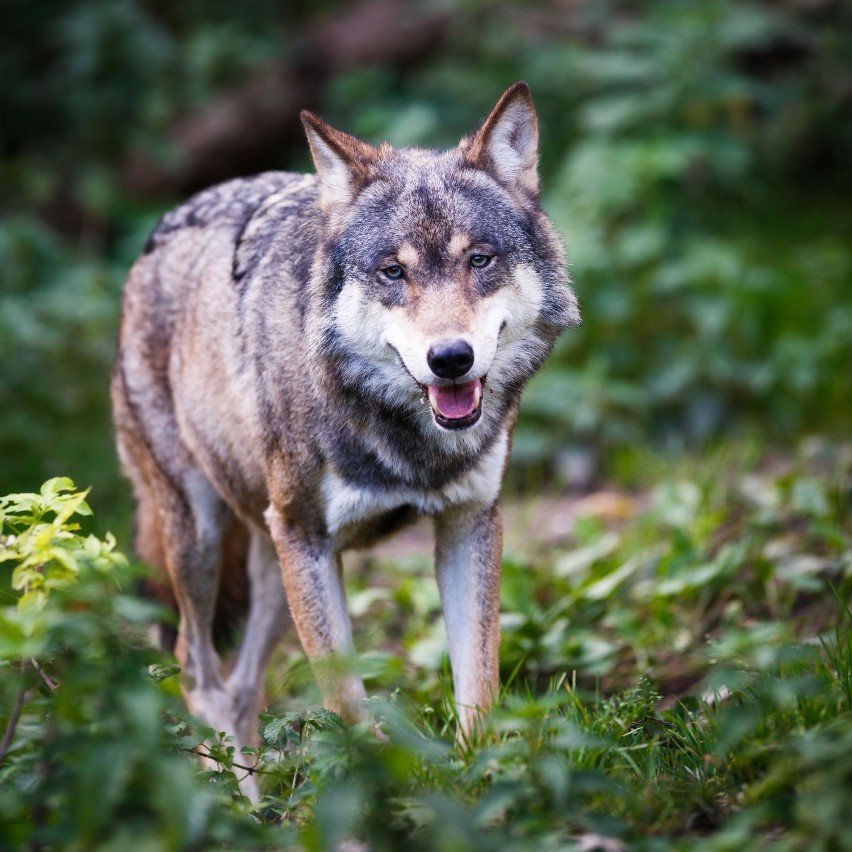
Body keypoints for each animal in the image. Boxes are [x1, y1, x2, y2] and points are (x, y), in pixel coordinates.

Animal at [111, 83, 580, 796]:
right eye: (392, 272)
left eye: (479, 260)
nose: (451, 358)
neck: (402, 437)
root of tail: (151, 245)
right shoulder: (307, 539)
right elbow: (349, 707)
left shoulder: (470, 524)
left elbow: (478, 691)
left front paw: (480, 788)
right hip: (208, 539)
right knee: (197, 671)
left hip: (273, 566)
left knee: (243, 690)